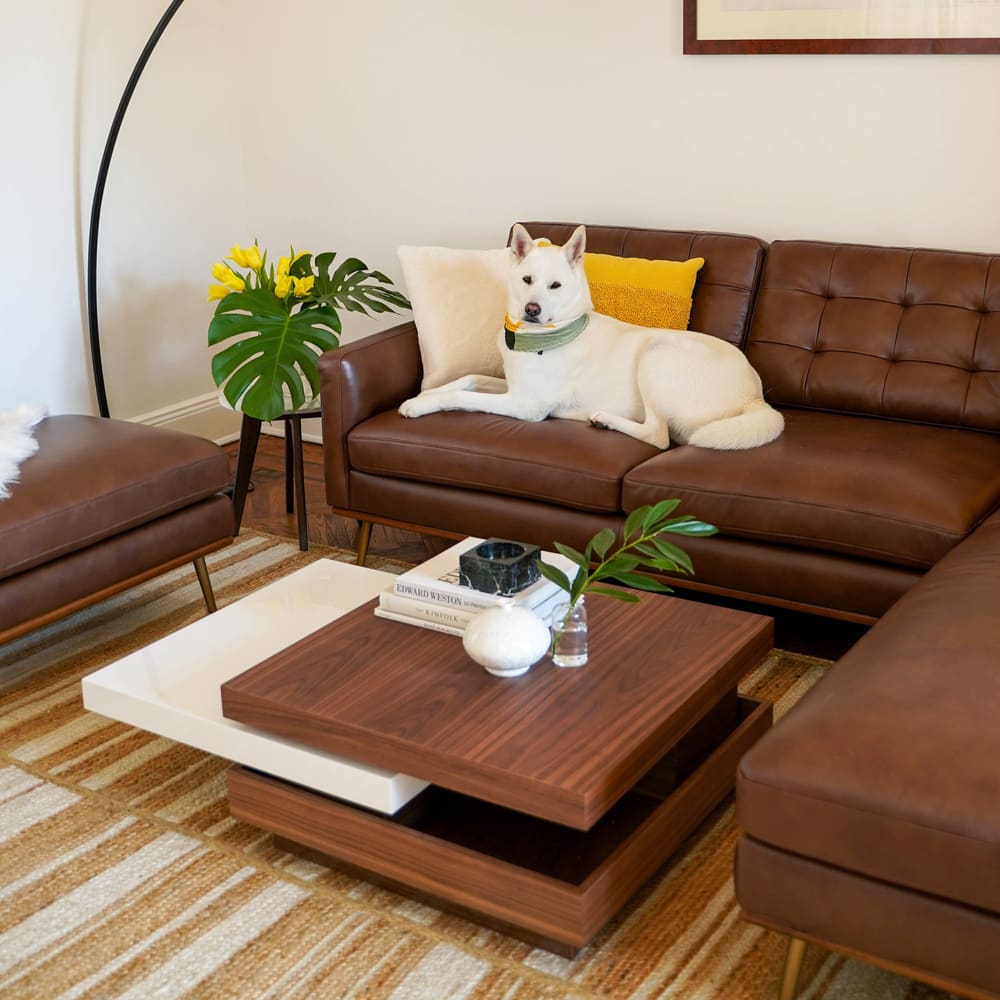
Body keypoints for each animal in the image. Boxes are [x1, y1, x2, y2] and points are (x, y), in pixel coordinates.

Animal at [398, 227, 780, 450]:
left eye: (555, 285)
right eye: (527, 279)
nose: (532, 309)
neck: (543, 338)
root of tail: (755, 395)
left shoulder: (525, 404)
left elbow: (464, 397)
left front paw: (420, 405)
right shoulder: (513, 385)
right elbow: (470, 378)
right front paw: (426, 392)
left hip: (656, 355)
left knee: (659, 436)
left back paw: (604, 419)